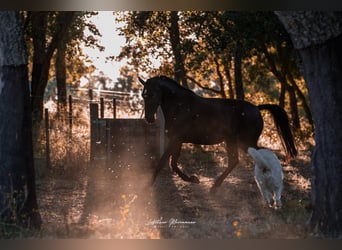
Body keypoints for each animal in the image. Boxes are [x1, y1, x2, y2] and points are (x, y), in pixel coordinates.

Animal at [139, 75, 296, 190]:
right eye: (143, 95)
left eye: (153, 94)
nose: (149, 118)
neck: (180, 106)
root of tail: (257, 108)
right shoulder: (177, 140)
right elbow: (173, 163)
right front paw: (193, 179)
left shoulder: (175, 139)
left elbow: (163, 162)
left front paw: (147, 186)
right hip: (232, 141)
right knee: (234, 161)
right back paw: (215, 186)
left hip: (245, 142)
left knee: (260, 157)